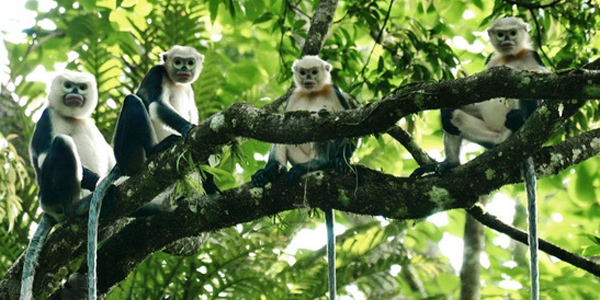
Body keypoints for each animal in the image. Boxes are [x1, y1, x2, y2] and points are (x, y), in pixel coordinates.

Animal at [20, 71, 115, 300]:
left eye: (81, 87)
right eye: (69, 85)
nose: (74, 93)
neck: (73, 117)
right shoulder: (47, 117)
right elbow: (44, 156)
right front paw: (102, 183)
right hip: (49, 195)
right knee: (62, 143)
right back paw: (75, 208)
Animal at [86, 45, 220, 300]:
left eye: (189, 62)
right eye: (177, 62)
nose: (184, 69)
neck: (176, 83)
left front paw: (212, 187)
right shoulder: (156, 74)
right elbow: (157, 106)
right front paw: (187, 127)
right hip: (127, 150)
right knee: (133, 101)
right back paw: (156, 149)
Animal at [250, 55, 354, 298]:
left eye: (314, 72)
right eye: (304, 73)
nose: (308, 79)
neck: (312, 93)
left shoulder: (334, 91)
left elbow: (352, 129)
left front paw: (343, 160)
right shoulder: (294, 96)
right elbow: (280, 125)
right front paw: (269, 170)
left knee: (324, 121)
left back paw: (320, 163)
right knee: (284, 128)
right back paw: (272, 171)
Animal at [412, 17, 548, 298]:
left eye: (513, 33)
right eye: (501, 34)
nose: (507, 40)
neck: (510, 57)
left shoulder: (532, 56)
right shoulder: (492, 64)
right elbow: (469, 100)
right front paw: (445, 110)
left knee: (525, 97)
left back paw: (519, 120)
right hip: (488, 137)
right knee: (456, 118)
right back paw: (449, 162)